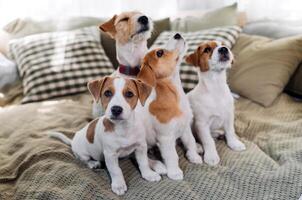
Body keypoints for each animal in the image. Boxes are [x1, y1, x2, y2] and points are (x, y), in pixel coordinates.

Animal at [138, 34, 202, 181]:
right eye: (159, 53)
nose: (177, 34)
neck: (175, 96)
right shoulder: (165, 137)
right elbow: (172, 156)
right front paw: (174, 172)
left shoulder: (185, 128)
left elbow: (190, 142)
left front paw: (194, 156)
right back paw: (159, 166)